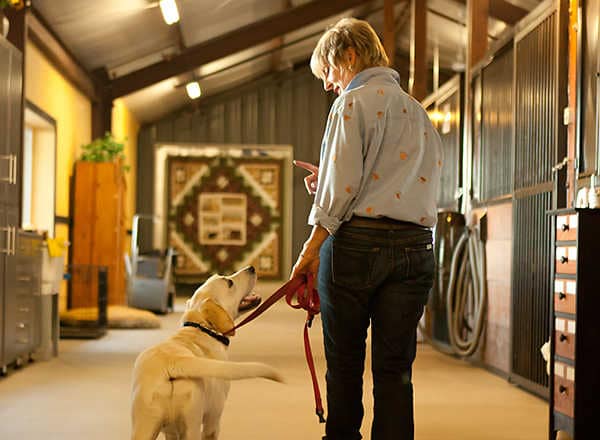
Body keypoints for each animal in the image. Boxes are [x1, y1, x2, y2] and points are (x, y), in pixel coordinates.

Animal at [131, 264, 282, 440]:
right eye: (229, 282)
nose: (251, 267)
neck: (202, 328)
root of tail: (173, 362)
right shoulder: (213, 419)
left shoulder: (171, 432)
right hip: (192, 426)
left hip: (144, 426)